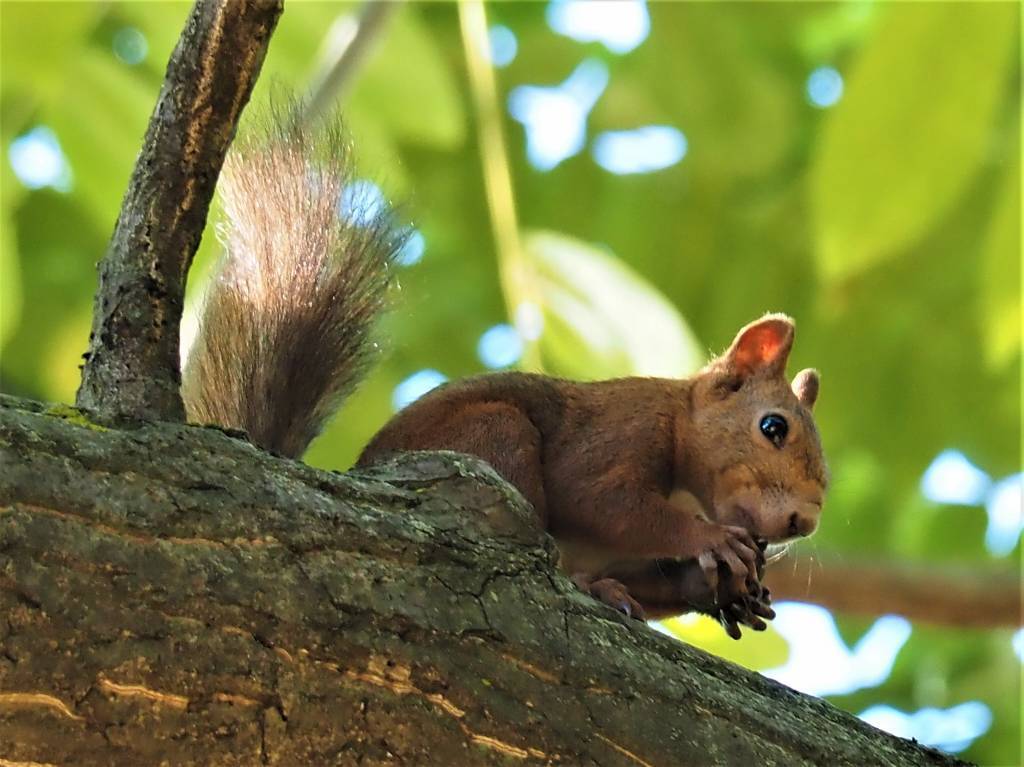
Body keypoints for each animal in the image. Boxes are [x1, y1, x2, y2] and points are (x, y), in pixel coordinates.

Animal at [182, 113, 823, 638]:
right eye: (773, 427)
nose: (804, 521)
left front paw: (728, 592)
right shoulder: (621, 432)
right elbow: (601, 500)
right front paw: (710, 542)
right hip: (494, 434)